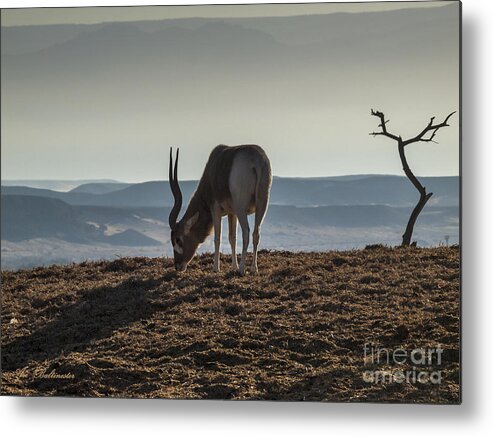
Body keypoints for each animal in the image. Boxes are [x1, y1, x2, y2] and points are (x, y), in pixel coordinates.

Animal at [167, 146, 270, 276]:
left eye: (178, 240)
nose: (178, 266)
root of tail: (256, 160)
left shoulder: (215, 209)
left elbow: (217, 238)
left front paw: (216, 268)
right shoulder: (232, 212)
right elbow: (232, 238)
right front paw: (234, 266)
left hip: (241, 208)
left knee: (246, 232)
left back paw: (242, 269)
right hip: (261, 205)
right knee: (256, 233)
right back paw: (253, 269)